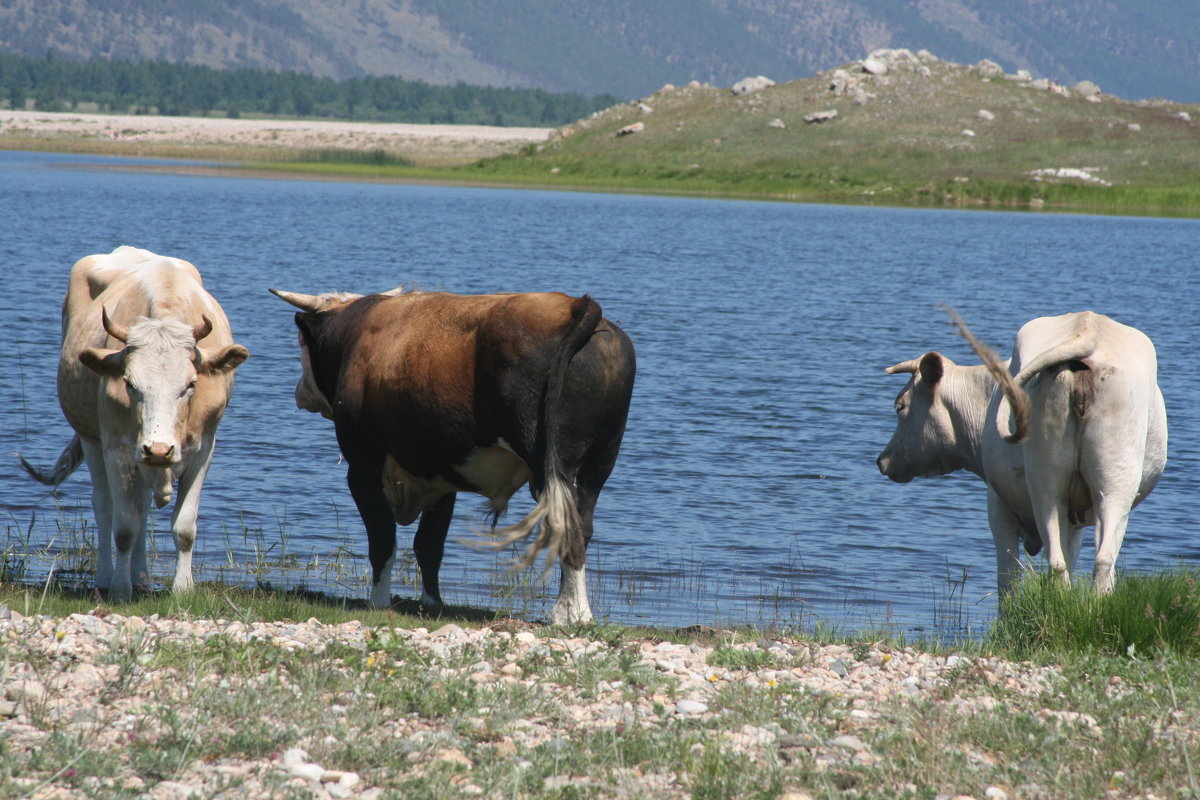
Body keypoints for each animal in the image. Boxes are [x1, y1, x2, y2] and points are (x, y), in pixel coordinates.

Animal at [267, 287, 633, 623]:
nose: (299, 392)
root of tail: (573, 304)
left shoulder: (363, 464)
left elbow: (383, 537)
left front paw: (378, 602)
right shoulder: (439, 472)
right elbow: (430, 543)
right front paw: (432, 603)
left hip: (549, 462)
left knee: (565, 526)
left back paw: (568, 613)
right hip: (598, 462)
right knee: (581, 525)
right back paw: (576, 613)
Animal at [878, 309, 1166, 597]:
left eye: (900, 406)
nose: (882, 460)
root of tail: (1091, 330)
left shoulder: (998, 506)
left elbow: (1008, 580)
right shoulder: (1075, 521)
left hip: (1045, 483)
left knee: (1057, 562)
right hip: (1115, 483)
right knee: (1102, 560)